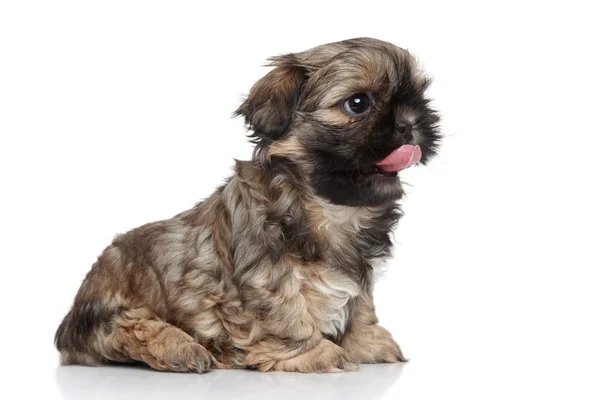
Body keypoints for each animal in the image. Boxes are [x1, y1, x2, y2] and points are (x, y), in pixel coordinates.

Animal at [55, 37, 440, 372]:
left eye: (418, 98)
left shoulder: (362, 272)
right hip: (112, 316)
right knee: (130, 330)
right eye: (357, 104)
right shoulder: (266, 276)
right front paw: (316, 353)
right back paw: (184, 349)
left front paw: (366, 343)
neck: (329, 208)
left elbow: (361, 306)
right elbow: (286, 313)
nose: (408, 124)